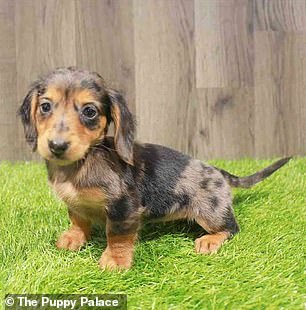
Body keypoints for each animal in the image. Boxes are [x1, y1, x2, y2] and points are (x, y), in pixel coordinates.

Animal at [19, 67, 292, 268]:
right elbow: (78, 220)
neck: (82, 162)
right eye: (45, 106)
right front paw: (74, 238)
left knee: (232, 228)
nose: (57, 145)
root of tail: (218, 172)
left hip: (210, 213)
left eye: (89, 111)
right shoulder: (75, 204)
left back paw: (210, 240)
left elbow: (117, 235)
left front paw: (115, 260)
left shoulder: (123, 208)